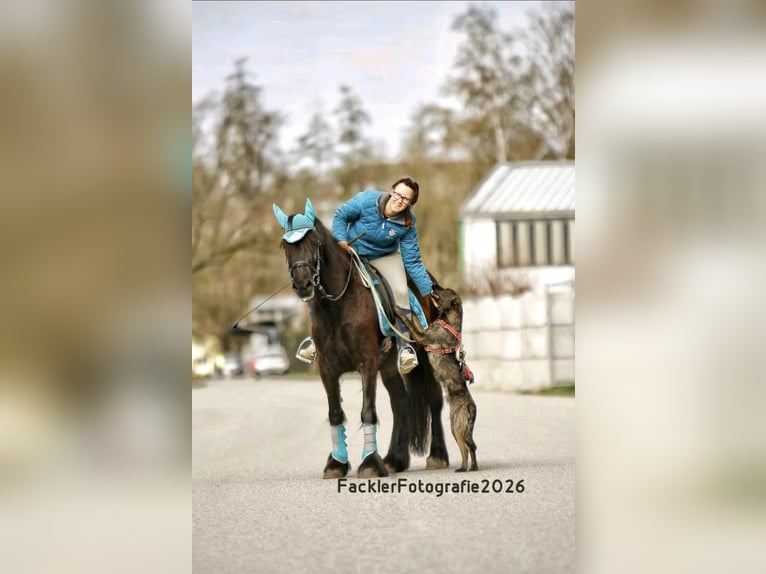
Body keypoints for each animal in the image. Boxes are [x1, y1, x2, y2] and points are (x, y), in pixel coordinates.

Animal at [273, 199, 449, 478]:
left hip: (424, 357)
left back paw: (437, 456)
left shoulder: (367, 363)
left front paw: (369, 464)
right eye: (285, 246)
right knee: (400, 403)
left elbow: (368, 411)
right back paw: (394, 460)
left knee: (433, 398)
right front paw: (336, 464)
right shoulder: (327, 367)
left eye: (314, 243)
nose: (302, 285)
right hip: (389, 366)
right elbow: (335, 413)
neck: (338, 305)